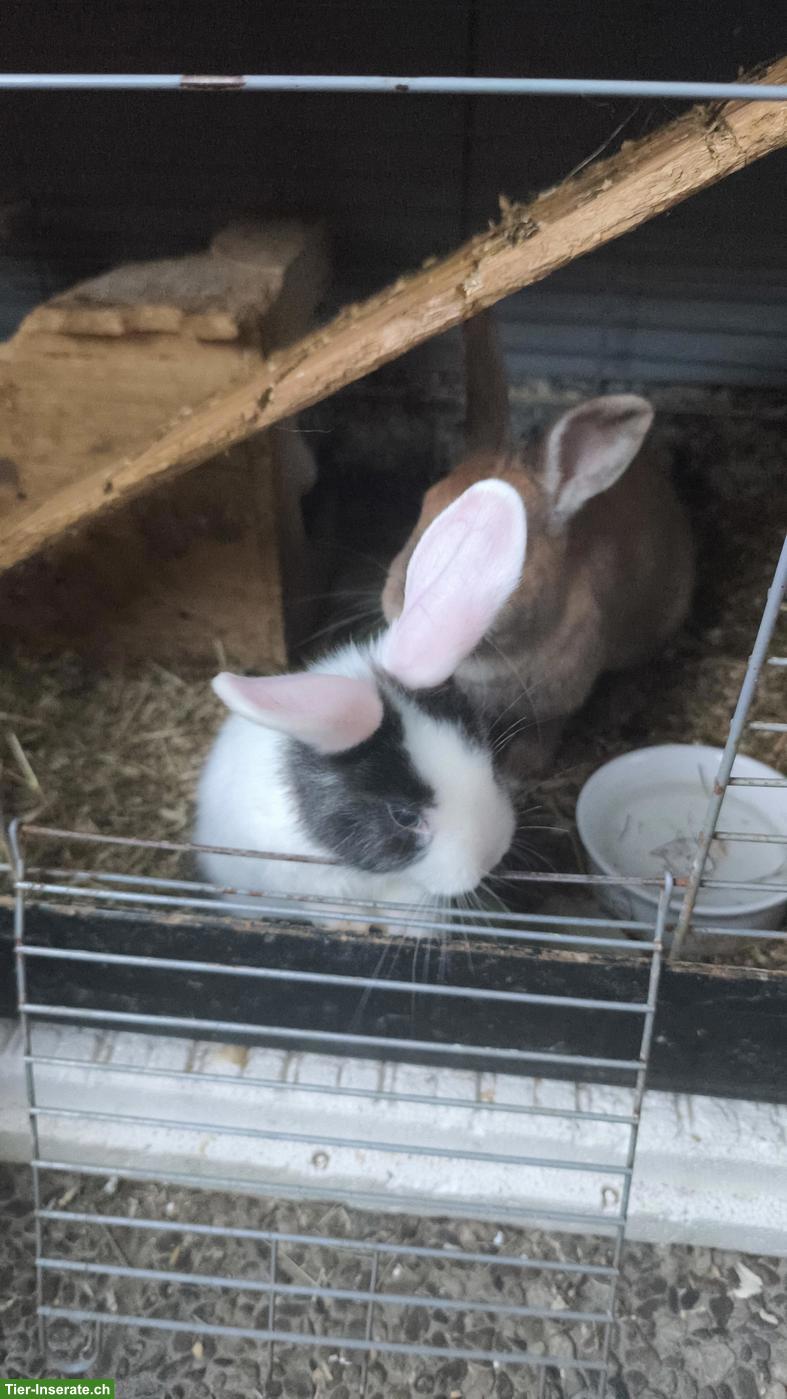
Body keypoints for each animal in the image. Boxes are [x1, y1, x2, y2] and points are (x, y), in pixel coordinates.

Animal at [195, 477, 528, 926]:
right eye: (403, 816)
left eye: (490, 763)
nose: (493, 854)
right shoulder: (306, 881)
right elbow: (333, 909)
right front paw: (350, 926)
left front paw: (410, 931)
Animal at [381, 311, 695, 781]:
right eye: (425, 503)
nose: (397, 606)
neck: (492, 657)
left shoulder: (556, 703)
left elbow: (542, 735)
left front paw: (520, 770)